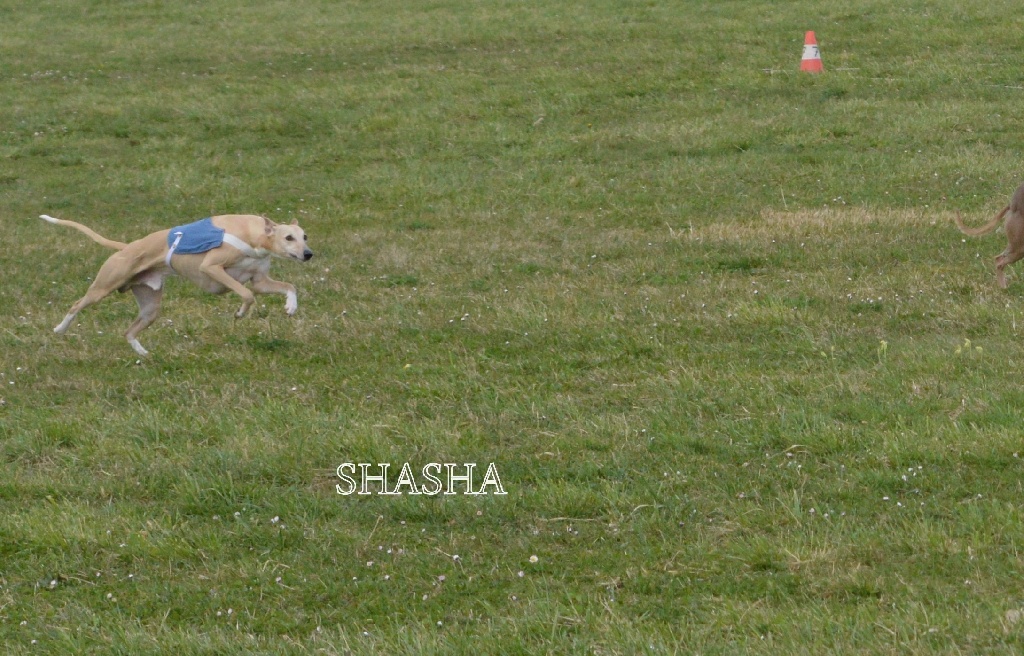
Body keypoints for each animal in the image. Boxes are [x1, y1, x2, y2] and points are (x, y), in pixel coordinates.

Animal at [40, 213, 311, 358]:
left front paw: (291, 307)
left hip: (150, 306)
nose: (309, 254)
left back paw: (143, 354)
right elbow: (246, 294)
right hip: (103, 286)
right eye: (289, 237)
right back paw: (60, 328)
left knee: (129, 332)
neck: (255, 236)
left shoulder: (260, 280)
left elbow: (288, 286)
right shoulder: (212, 268)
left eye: (305, 236)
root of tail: (125, 248)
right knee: (77, 305)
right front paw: (241, 312)